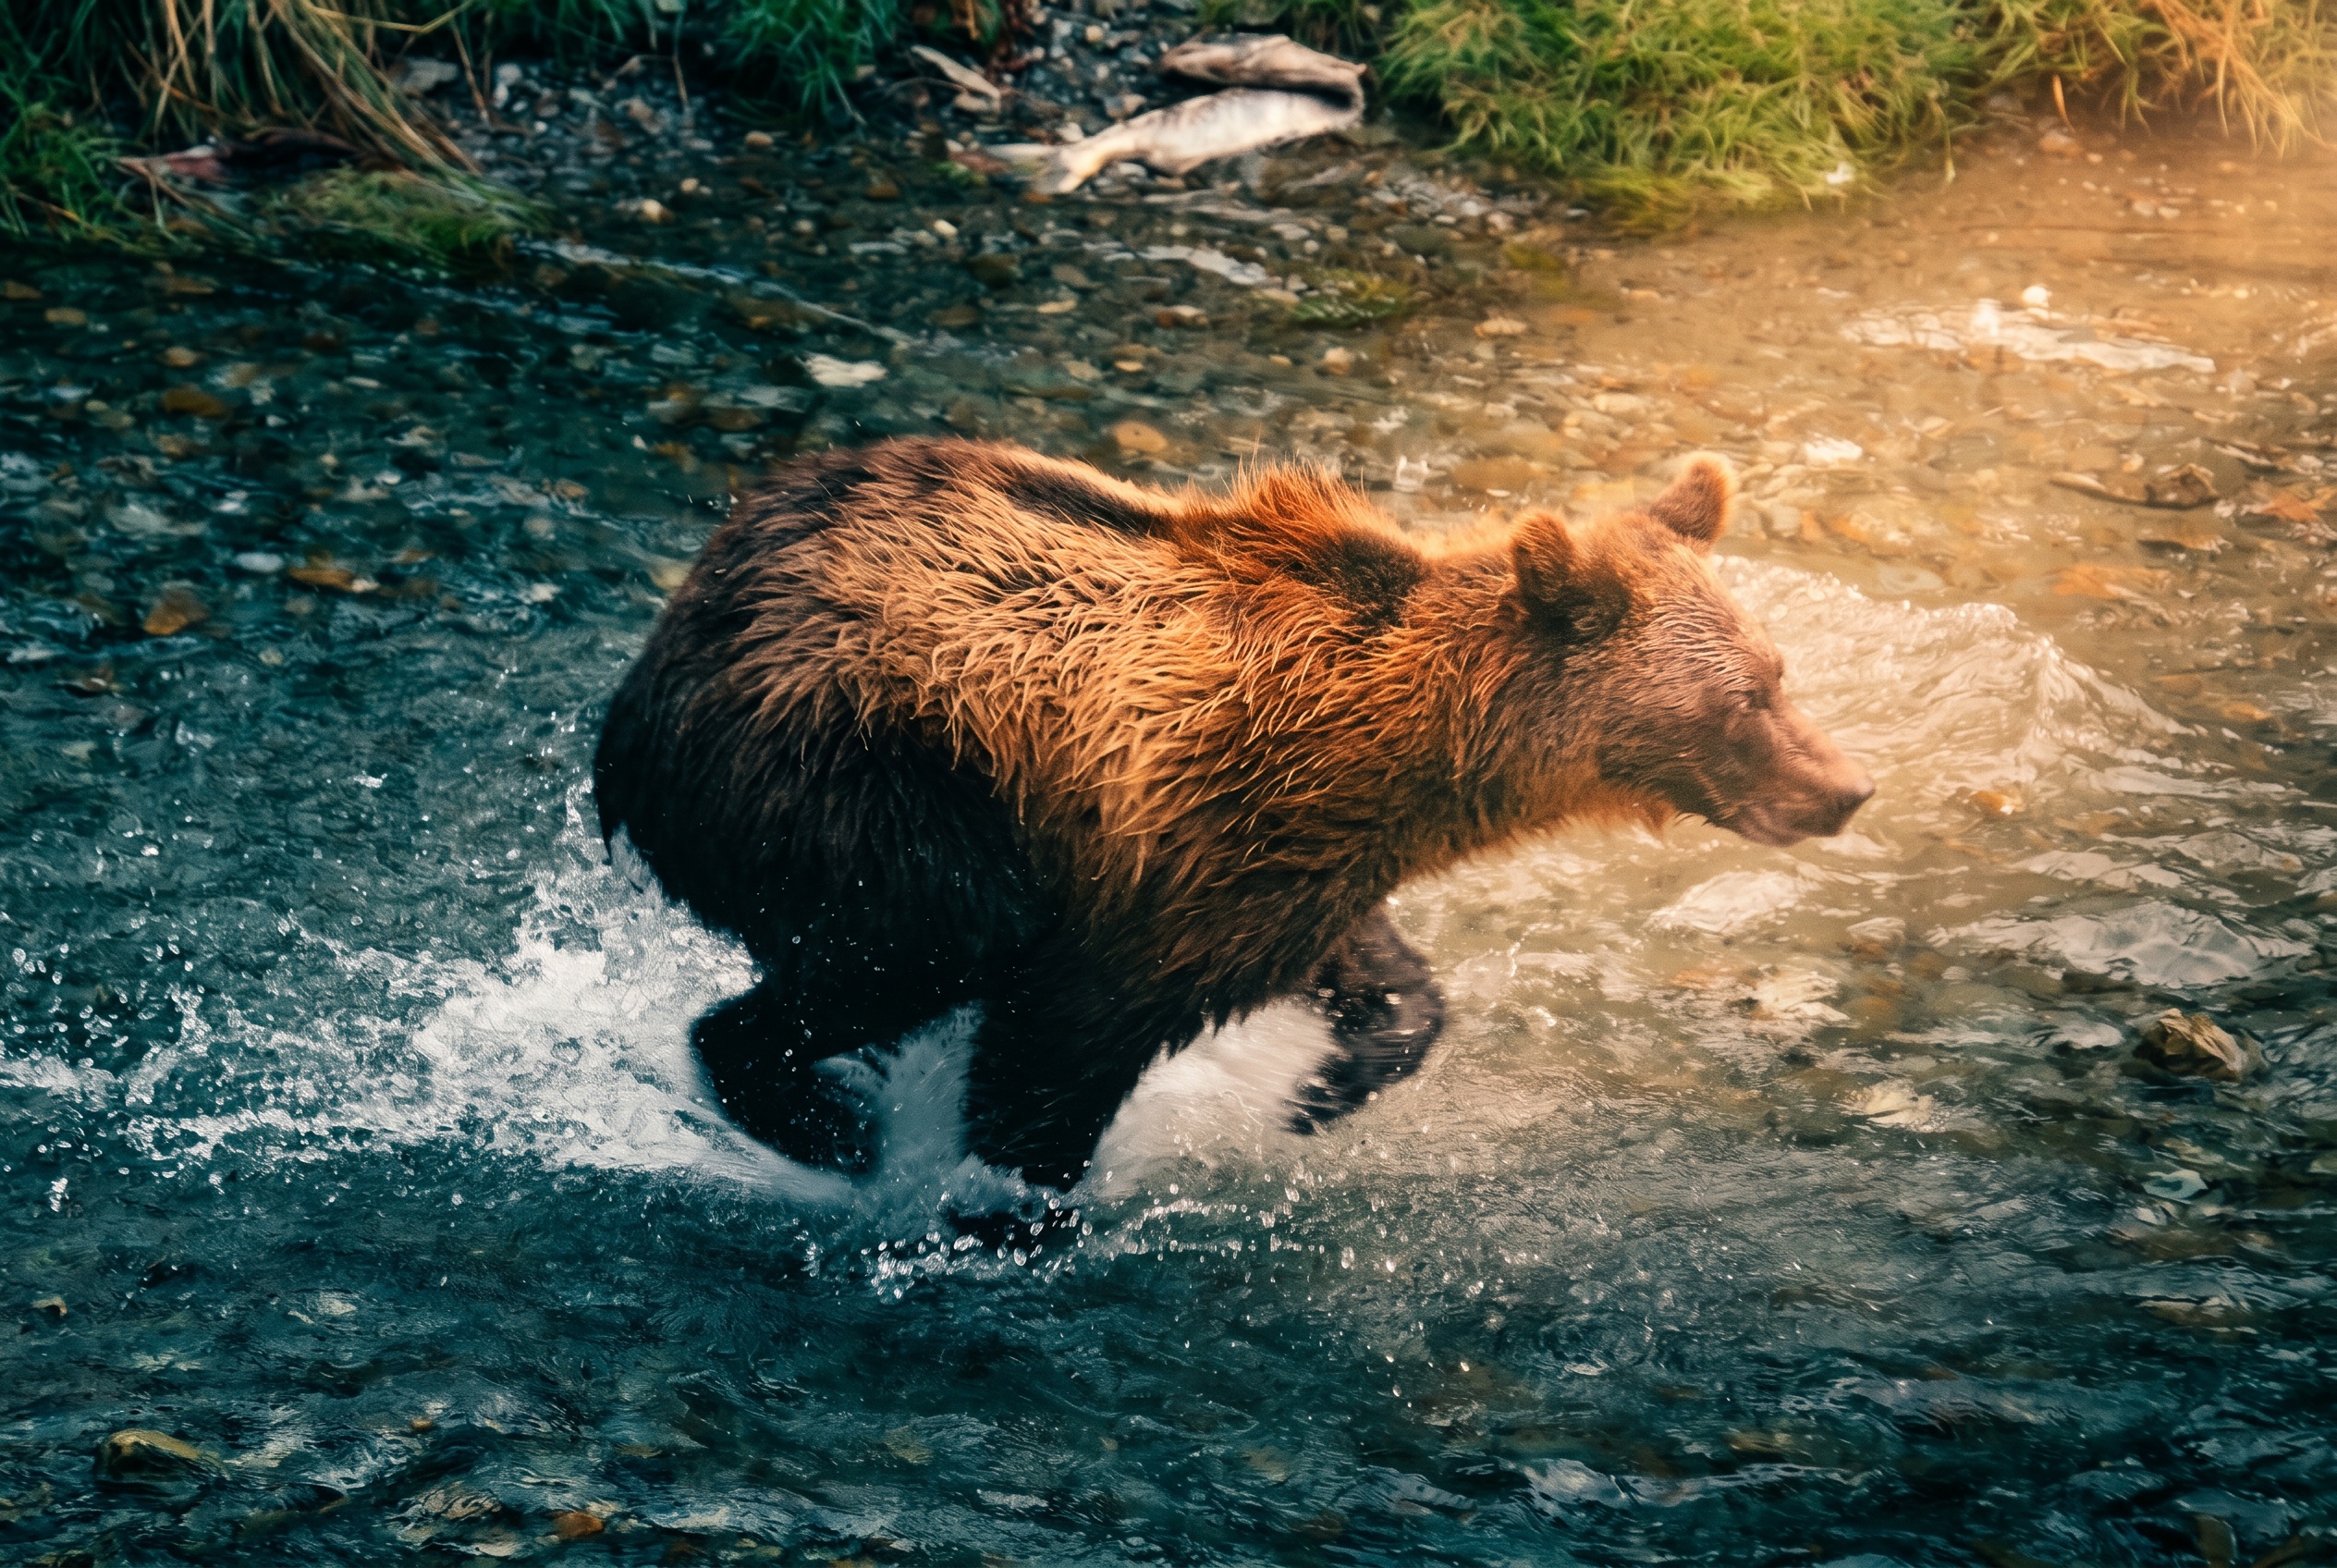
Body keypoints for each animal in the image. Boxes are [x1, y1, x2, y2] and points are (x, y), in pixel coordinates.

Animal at [594, 437, 1871, 1193]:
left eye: (1777, 670)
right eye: (1743, 699)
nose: (1843, 787)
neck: (1406, 751)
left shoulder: (1278, 861)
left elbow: (1370, 973)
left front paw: (1325, 1086)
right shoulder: (1173, 844)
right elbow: (1052, 1053)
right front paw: (1017, 1209)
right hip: (854, 763)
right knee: (926, 939)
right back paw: (814, 1118)